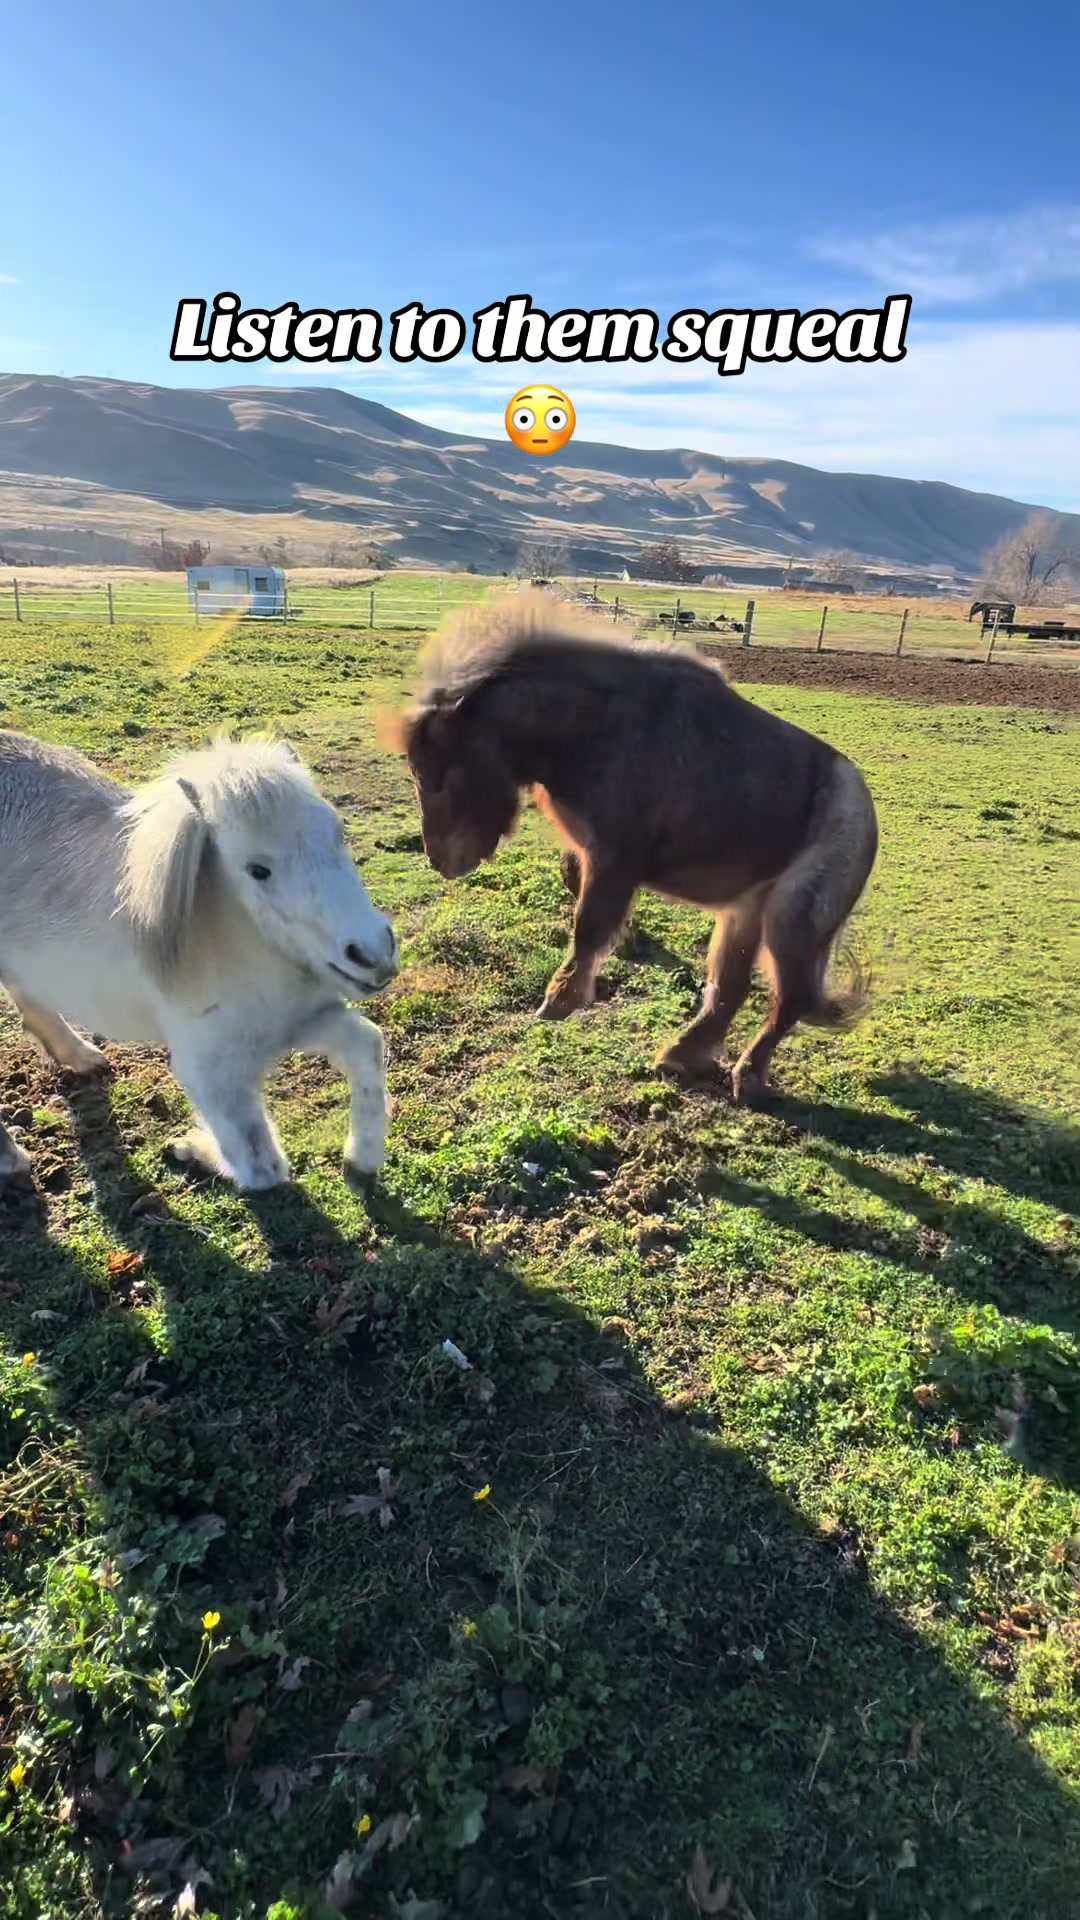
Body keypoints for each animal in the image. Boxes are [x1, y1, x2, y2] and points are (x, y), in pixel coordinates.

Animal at [0, 730, 399, 1190]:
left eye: (338, 832)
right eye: (257, 870)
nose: (374, 954)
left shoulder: (298, 1020)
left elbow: (367, 1046)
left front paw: (362, 1160)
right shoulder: (210, 1073)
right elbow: (261, 1168)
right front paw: (191, 1149)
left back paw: (81, 1057)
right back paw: (11, 1159)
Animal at [387, 592, 878, 1102]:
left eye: (438, 773)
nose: (441, 860)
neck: (598, 730)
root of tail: (865, 813)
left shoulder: (616, 859)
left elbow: (588, 923)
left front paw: (560, 999)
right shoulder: (592, 853)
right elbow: (579, 894)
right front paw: (614, 952)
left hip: (790, 926)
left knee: (787, 1002)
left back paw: (746, 1077)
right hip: (744, 915)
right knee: (730, 990)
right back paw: (681, 1057)